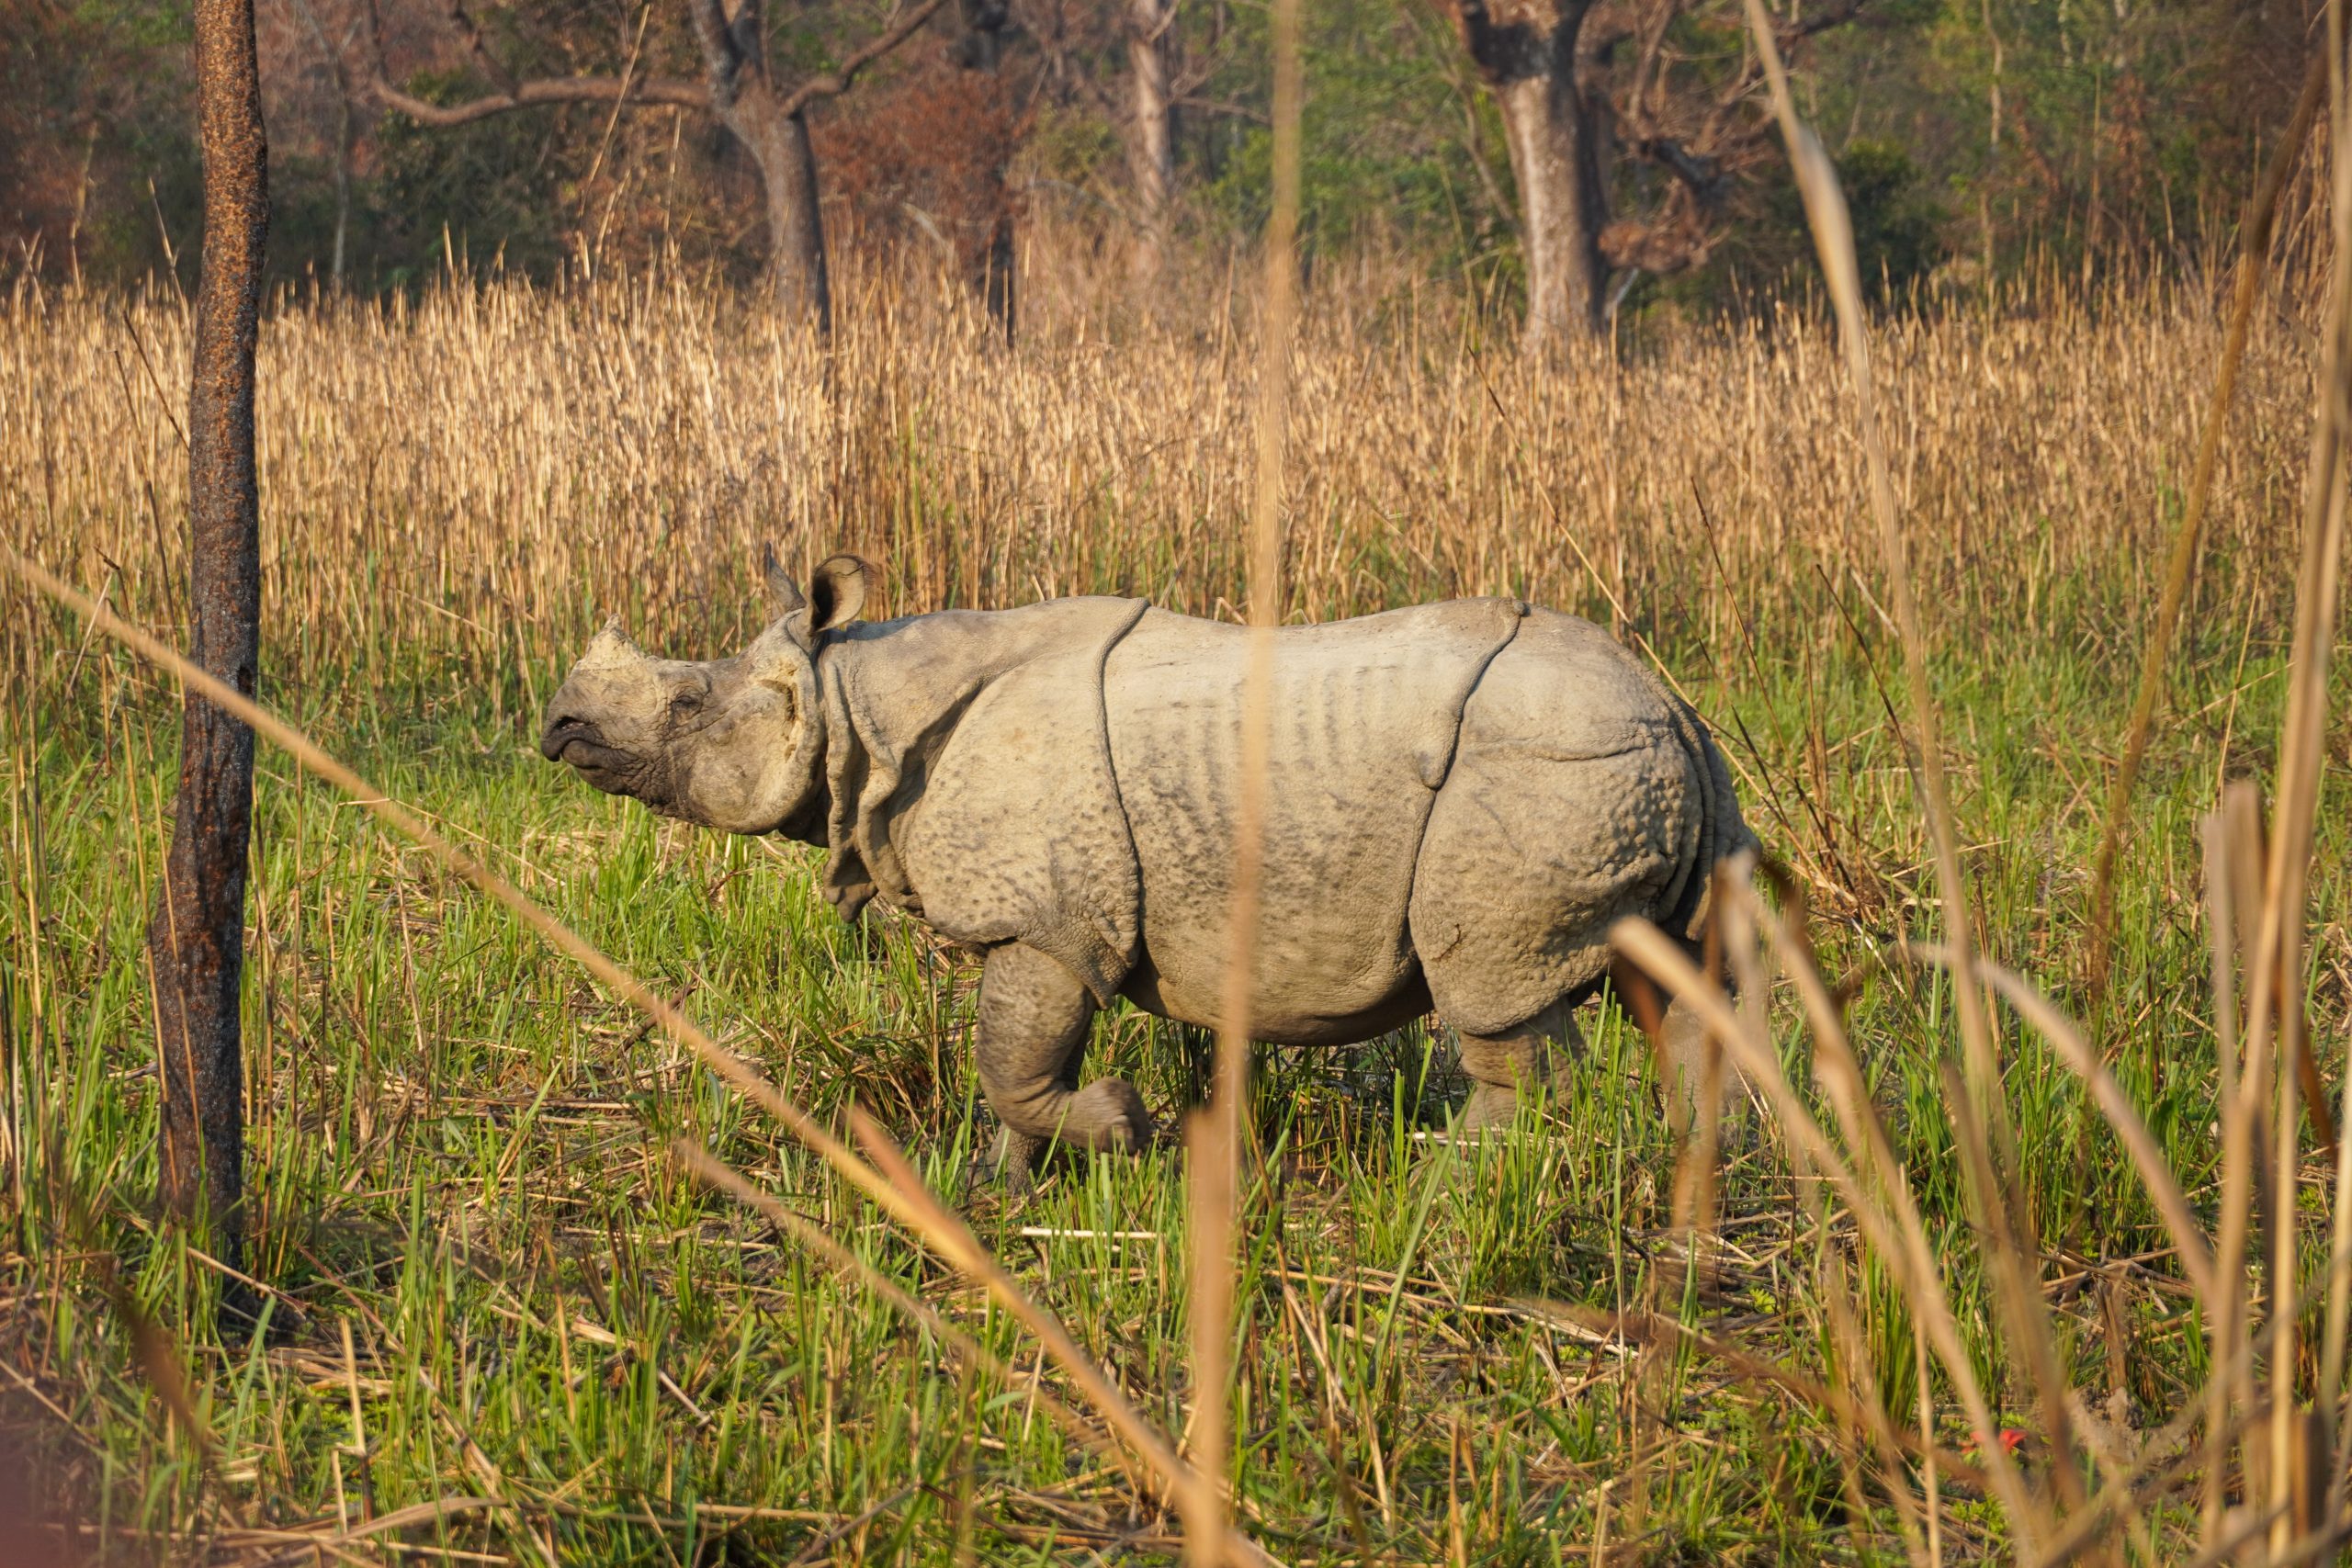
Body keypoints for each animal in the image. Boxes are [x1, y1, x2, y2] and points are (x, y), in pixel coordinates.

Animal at [540, 552, 1758, 1175]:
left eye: (686, 705)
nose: (556, 726)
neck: (857, 710)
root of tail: (1673, 708)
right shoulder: (1048, 917)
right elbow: (1015, 1063)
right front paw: (1001, 1184)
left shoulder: (1042, 915)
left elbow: (1012, 1059)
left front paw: (1121, 1130)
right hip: (1638, 768)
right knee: (1677, 973)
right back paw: (1708, 1160)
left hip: (1538, 768)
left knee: (1496, 991)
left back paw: (1448, 1185)